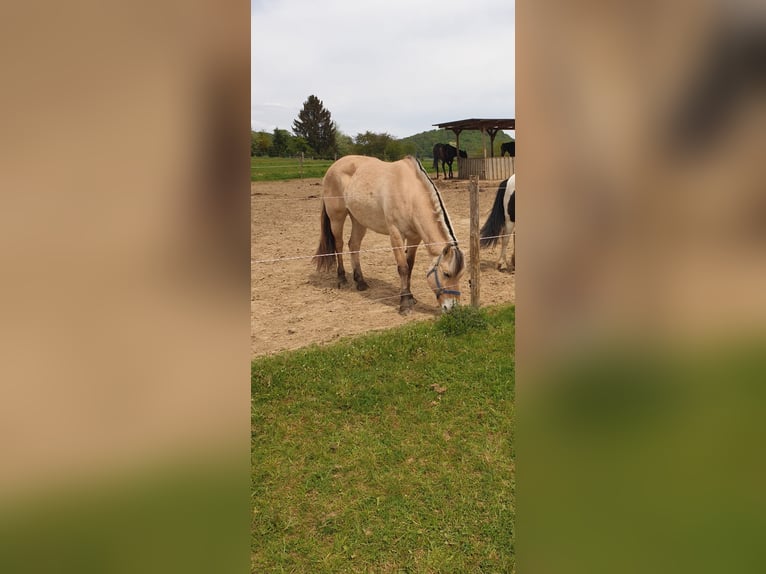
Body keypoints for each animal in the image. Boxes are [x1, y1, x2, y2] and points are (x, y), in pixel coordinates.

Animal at [314, 155, 468, 316]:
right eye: (446, 274)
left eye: (461, 275)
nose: (452, 308)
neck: (409, 192)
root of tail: (335, 165)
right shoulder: (396, 235)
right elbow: (403, 268)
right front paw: (405, 304)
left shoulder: (414, 238)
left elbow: (410, 266)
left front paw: (410, 297)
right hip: (336, 218)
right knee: (339, 245)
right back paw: (342, 279)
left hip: (359, 220)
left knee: (354, 245)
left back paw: (360, 281)